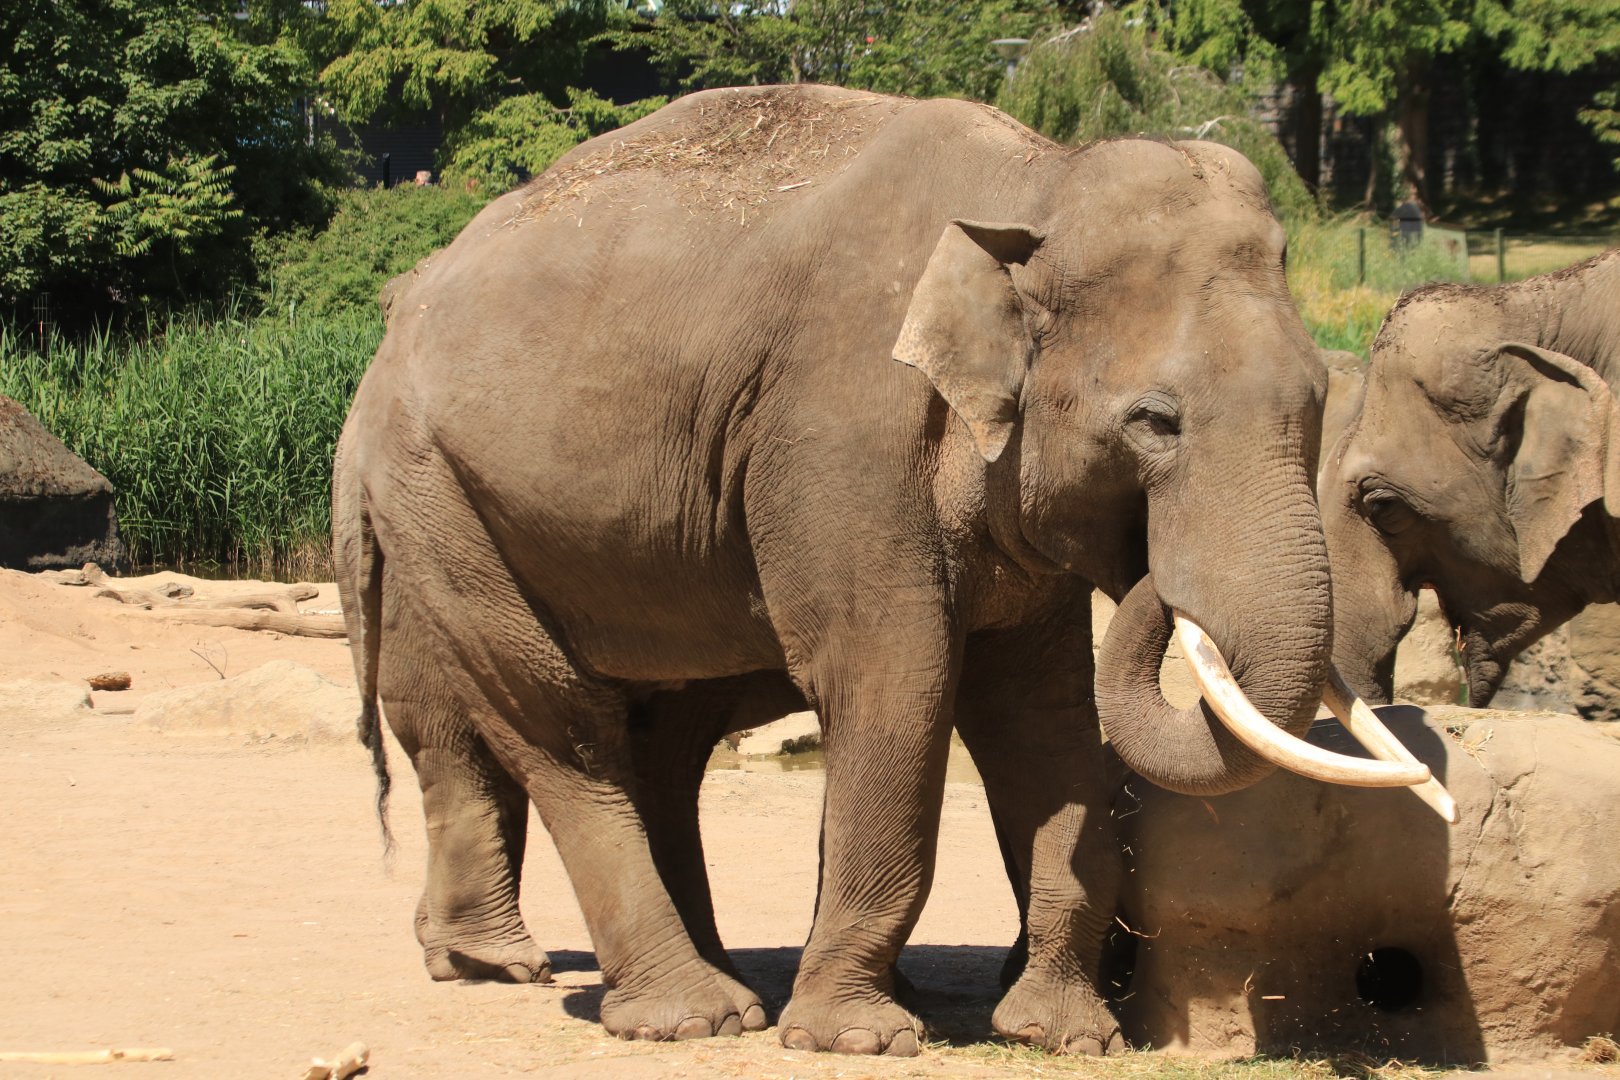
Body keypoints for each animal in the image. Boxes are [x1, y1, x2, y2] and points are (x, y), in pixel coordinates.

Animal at [333, 84, 1430, 1058]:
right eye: (1154, 422)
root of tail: (395, 316)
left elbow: (1043, 717)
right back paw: (672, 1011)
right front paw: (855, 1037)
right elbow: (896, 681)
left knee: (658, 734)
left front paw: (1063, 1034)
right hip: (434, 492)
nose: (1155, 574)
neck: (1036, 183)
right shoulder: (843, 433)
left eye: (1317, 398)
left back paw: (710, 985)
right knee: (556, 723)